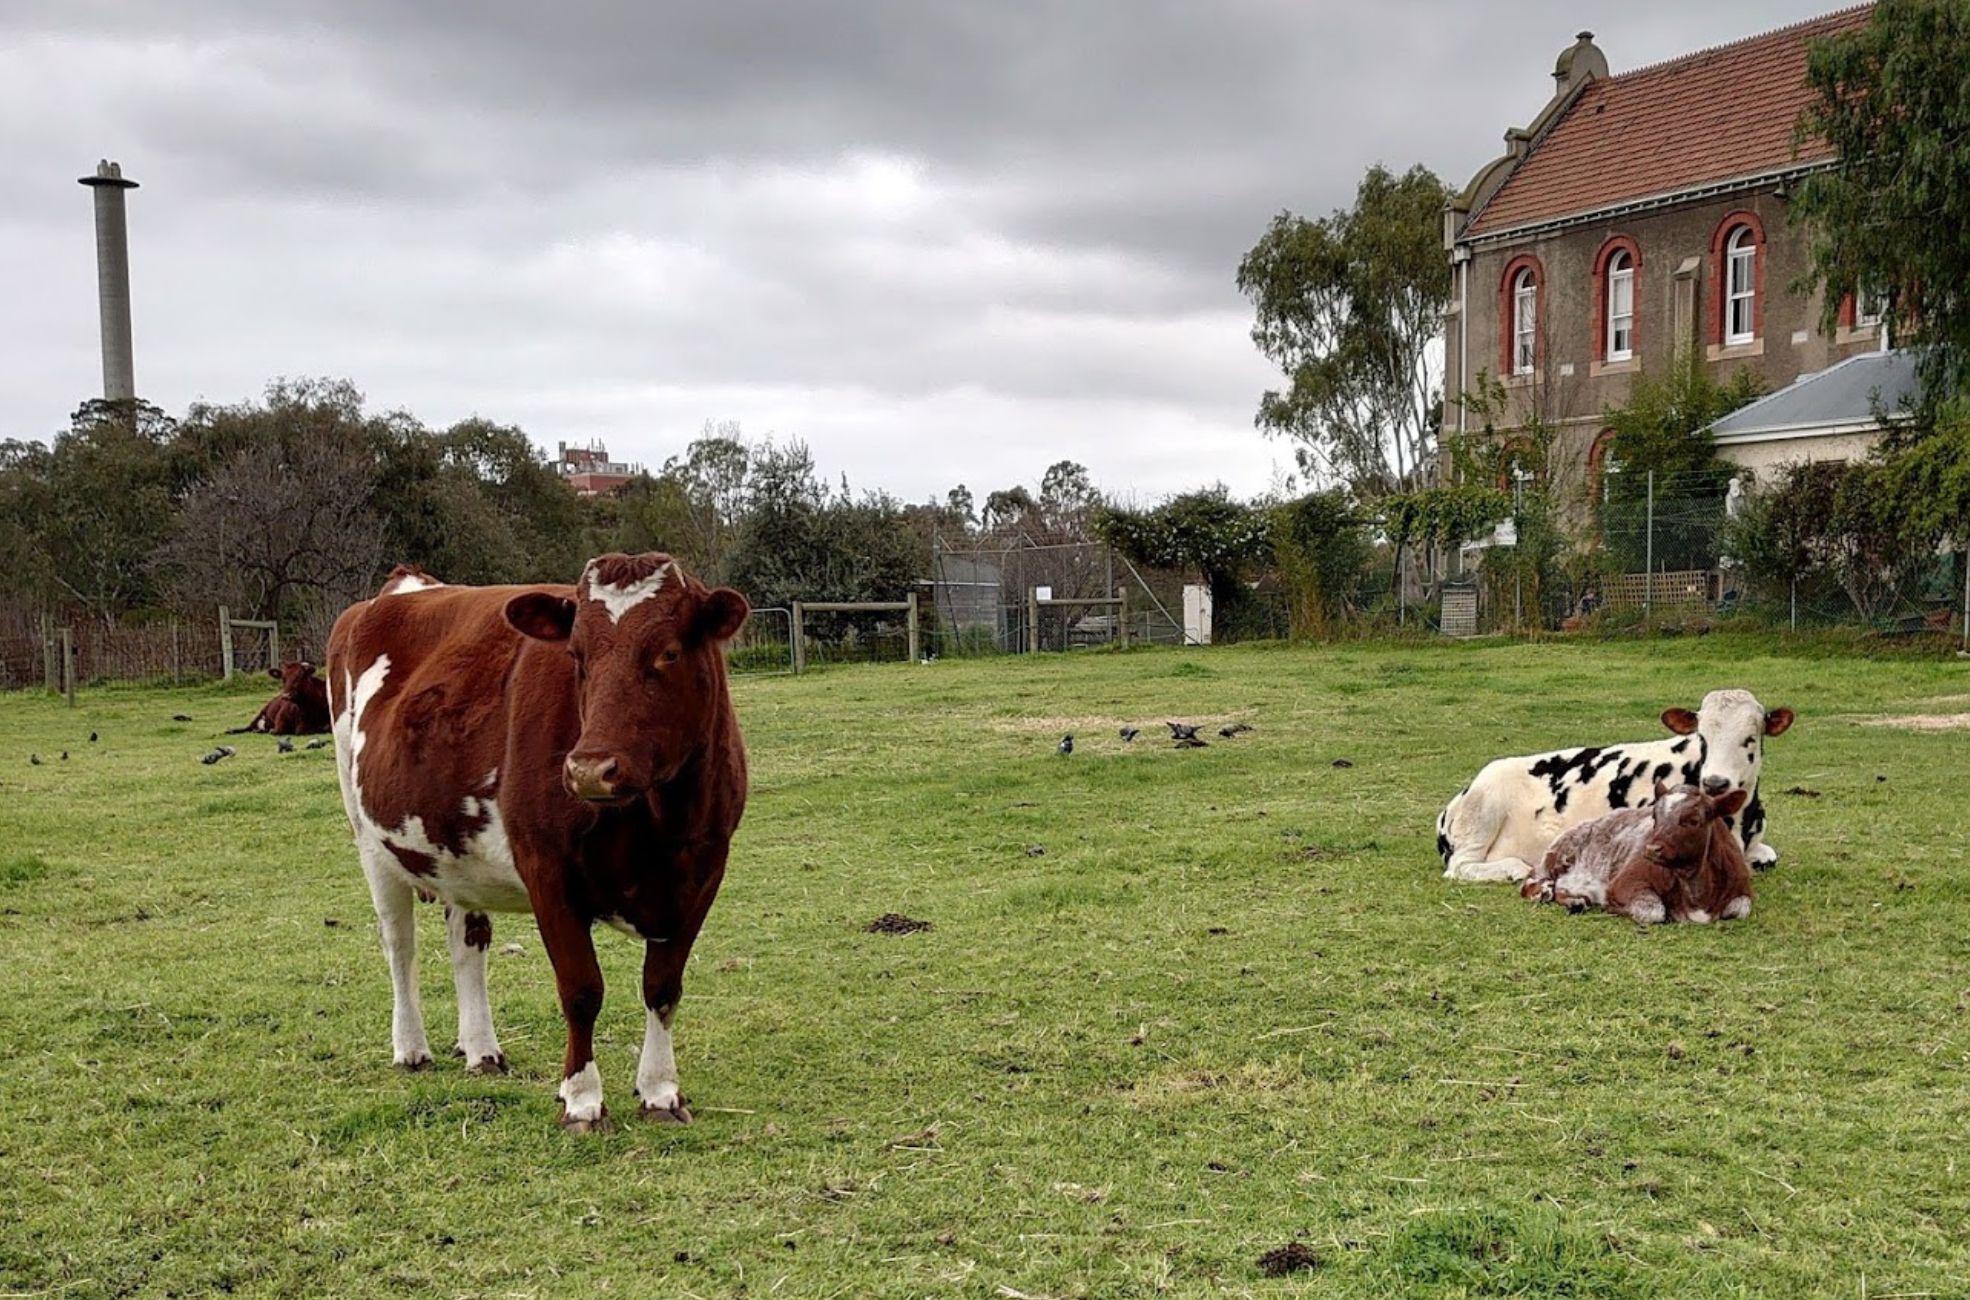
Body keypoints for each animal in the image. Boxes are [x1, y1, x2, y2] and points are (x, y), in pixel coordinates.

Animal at [327, 555, 748, 1134]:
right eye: (575, 654)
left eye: (668, 651)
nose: (590, 769)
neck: (655, 822)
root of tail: (405, 587)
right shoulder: (547, 872)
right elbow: (581, 990)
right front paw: (582, 1100)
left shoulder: (703, 870)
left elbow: (662, 988)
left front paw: (660, 1092)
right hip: (369, 840)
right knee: (400, 944)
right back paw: (411, 1048)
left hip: (458, 858)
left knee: (467, 943)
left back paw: (481, 1050)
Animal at [1442, 689, 1796, 882]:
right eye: (1702, 737)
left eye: (1750, 739)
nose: (1715, 782)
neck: (1739, 823)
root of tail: (1460, 797)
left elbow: (1769, 856)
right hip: (1483, 809)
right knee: (1460, 866)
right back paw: (1515, 867)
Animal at [1520, 783, 1757, 925]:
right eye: (1655, 816)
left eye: (1693, 820)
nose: (1651, 849)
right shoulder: (1624, 883)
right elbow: (1654, 911)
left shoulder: (1742, 889)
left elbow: (1741, 909)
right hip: (1558, 854)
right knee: (1531, 881)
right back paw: (1543, 892)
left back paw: (1576, 901)